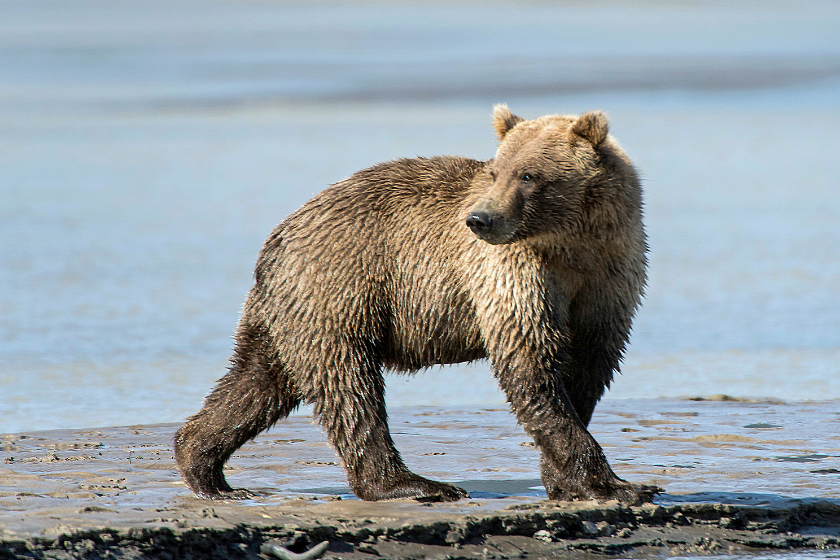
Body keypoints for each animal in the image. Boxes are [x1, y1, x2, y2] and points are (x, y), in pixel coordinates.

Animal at [176, 104, 648, 504]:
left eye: (529, 175)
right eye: (496, 171)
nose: (480, 219)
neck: (574, 242)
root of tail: (280, 234)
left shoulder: (609, 274)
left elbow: (587, 366)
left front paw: (567, 481)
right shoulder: (516, 271)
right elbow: (532, 363)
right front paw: (615, 484)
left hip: (288, 311)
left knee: (256, 382)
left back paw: (207, 470)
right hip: (342, 289)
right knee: (351, 388)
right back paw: (411, 484)